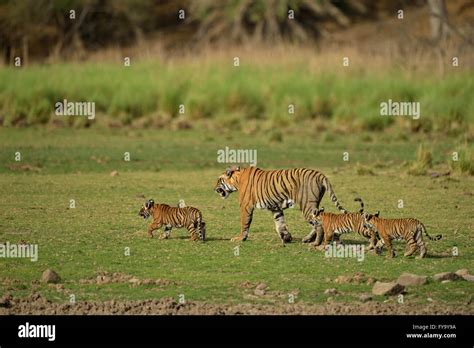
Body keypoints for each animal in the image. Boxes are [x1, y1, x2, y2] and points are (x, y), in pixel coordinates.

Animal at [213, 167, 346, 243]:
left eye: (219, 180)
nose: (214, 189)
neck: (236, 179)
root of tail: (320, 174)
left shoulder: (245, 206)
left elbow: (244, 223)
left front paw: (240, 238)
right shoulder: (275, 207)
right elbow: (280, 223)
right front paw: (286, 237)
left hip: (307, 205)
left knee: (318, 225)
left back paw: (315, 243)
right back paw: (308, 239)